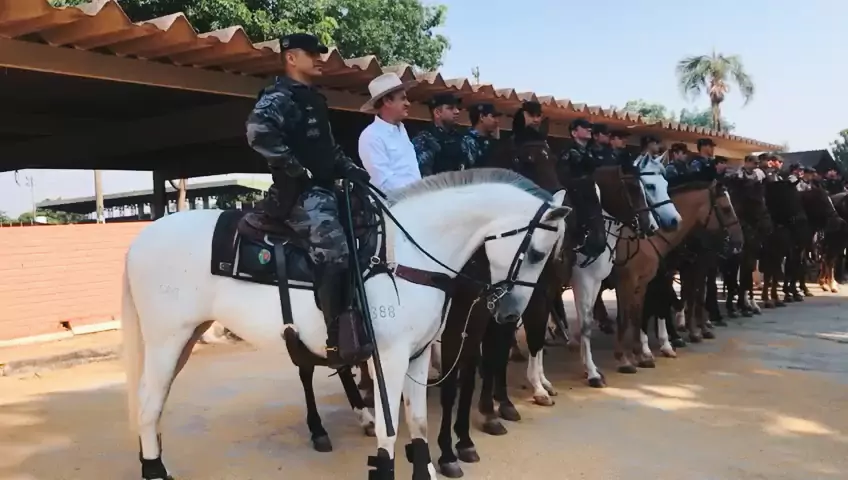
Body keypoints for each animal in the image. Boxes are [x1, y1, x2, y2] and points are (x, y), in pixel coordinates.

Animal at [121, 168, 571, 480]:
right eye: (535, 251)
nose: (510, 312)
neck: (406, 257)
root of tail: (141, 240)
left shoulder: (419, 356)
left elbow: (419, 422)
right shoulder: (389, 358)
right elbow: (390, 430)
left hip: (185, 340)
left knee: (152, 403)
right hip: (167, 340)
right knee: (148, 403)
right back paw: (155, 470)